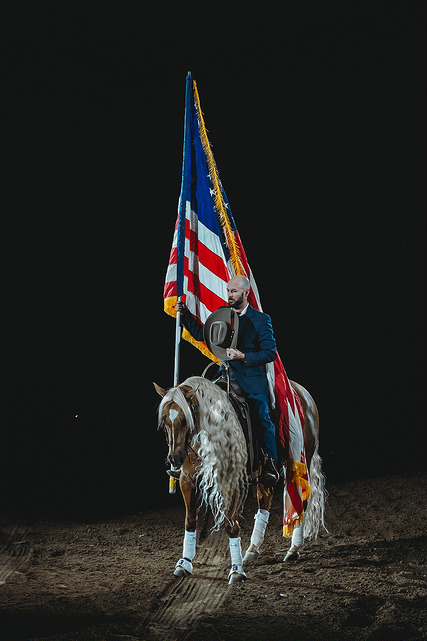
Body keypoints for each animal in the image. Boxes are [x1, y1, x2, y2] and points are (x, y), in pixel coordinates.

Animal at [155, 376, 326, 584]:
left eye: (185, 419)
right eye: (164, 421)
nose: (175, 458)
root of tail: (302, 391)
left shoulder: (232, 481)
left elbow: (231, 525)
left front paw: (236, 571)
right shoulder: (187, 480)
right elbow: (190, 521)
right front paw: (184, 563)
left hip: (301, 458)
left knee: (301, 500)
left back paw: (294, 549)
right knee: (266, 499)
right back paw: (252, 550)